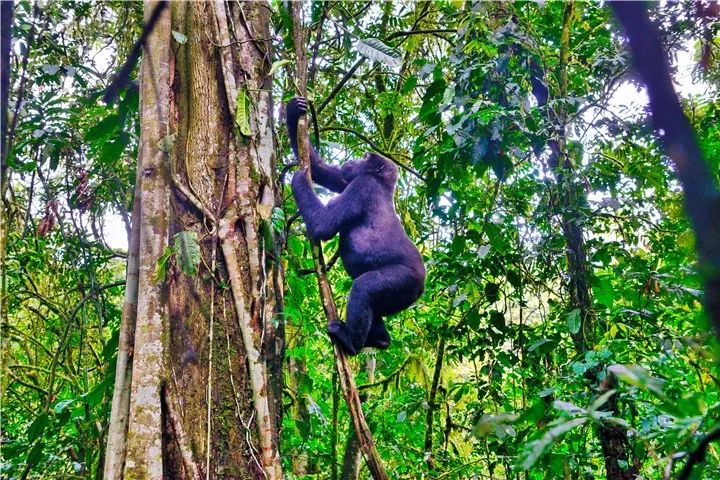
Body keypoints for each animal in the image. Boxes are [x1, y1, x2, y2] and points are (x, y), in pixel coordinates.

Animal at [286, 95, 424, 354]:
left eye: (365, 157)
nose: (353, 159)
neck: (382, 181)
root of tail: (422, 288)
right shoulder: (347, 179)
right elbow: (324, 172)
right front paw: (293, 110)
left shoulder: (362, 186)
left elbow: (324, 225)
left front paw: (298, 177)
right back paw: (380, 339)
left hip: (406, 281)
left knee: (364, 288)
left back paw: (350, 342)